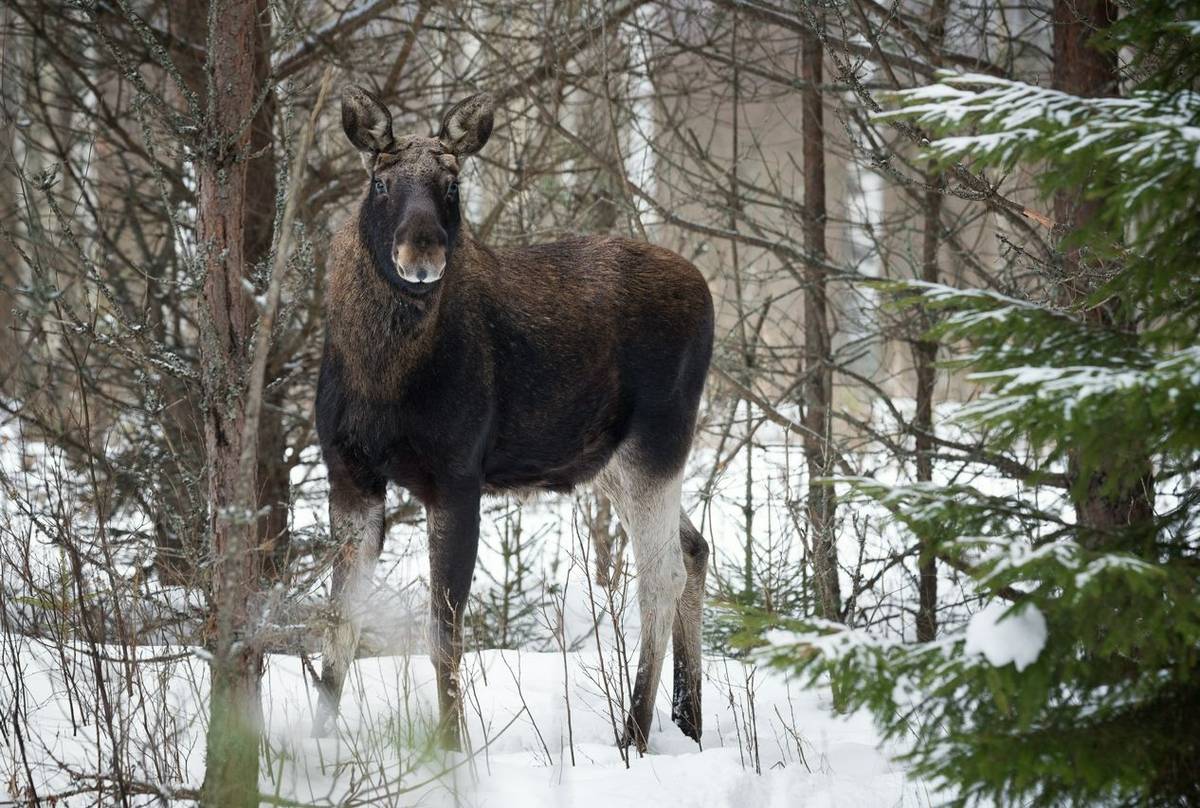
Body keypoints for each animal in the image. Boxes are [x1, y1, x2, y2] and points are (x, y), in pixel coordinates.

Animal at [314, 88, 715, 749]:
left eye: (452, 184)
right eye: (380, 181)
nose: (421, 250)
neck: (381, 372)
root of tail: (707, 293)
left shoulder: (456, 475)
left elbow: (444, 632)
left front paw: (451, 746)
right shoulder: (351, 475)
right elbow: (338, 624)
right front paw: (316, 741)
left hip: (658, 440)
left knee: (661, 576)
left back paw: (634, 732)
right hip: (610, 462)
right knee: (695, 548)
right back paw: (688, 722)